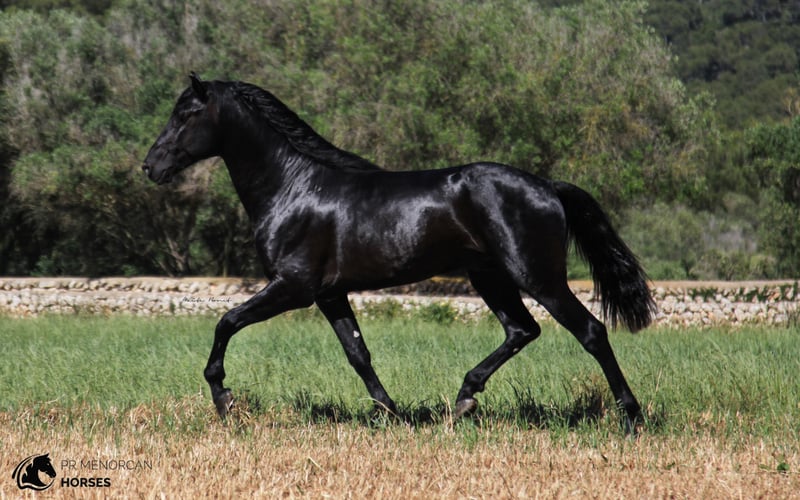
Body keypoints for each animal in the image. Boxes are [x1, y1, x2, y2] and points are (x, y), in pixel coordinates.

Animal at [142, 73, 656, 433]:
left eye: (186, 115)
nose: (151, 166)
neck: (293, 189)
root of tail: (548, 186)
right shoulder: (330, 294)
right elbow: (357, 352)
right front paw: (390, 412)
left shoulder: (293, 287)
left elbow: (226, 321)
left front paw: (223, 397)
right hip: (490, 276)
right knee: (521, 329)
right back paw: (464, 398)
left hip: (538, 277)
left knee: (590, 331)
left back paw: (631, 418)